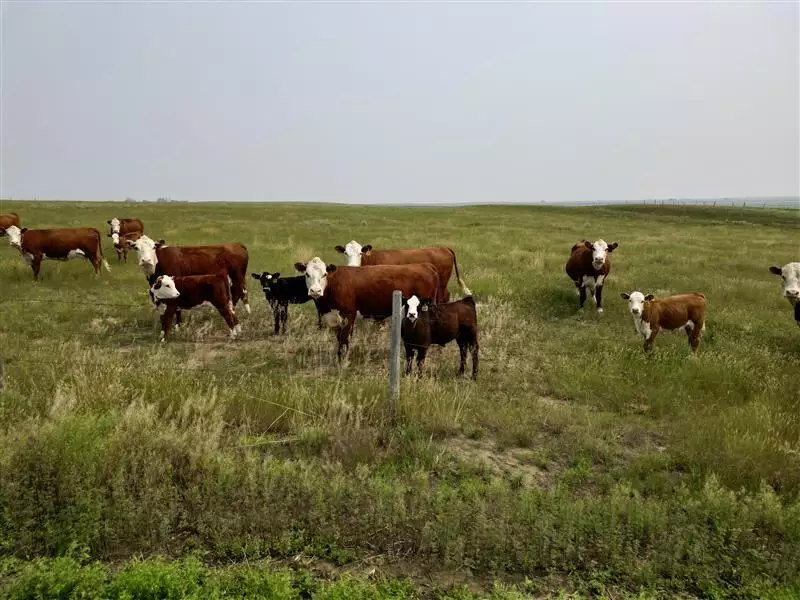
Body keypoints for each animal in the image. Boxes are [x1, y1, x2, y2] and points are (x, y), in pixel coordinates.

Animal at [294, 257, 442, 360]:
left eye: (324, 274)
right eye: (307, 274)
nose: (315, 291)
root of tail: (425, 265)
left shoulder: (348, 315)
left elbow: (344, 339)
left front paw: (343, 362)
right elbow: (339, 339)